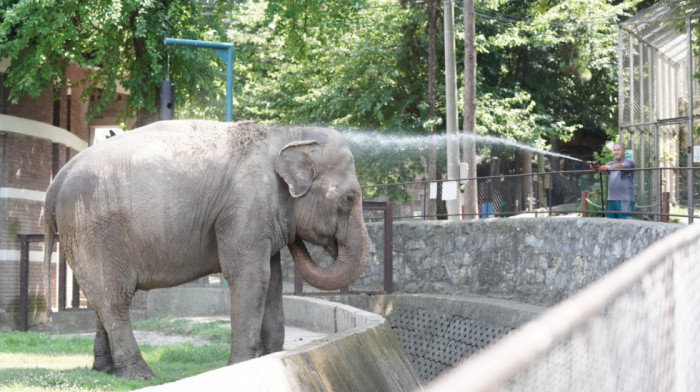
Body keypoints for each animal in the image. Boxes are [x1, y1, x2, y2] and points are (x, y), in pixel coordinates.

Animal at [42, 120, 372, 380]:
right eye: (348, 199)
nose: (295, 238)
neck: (287, 133)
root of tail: (56, 182)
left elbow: (273, 280)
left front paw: (270, 358)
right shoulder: (246, 207)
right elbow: (252, 277)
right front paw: (239, 367)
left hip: (83, 234)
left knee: (100, 298)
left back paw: (106, 371)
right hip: (94, 230)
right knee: (114, 300)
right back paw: (141, 375)